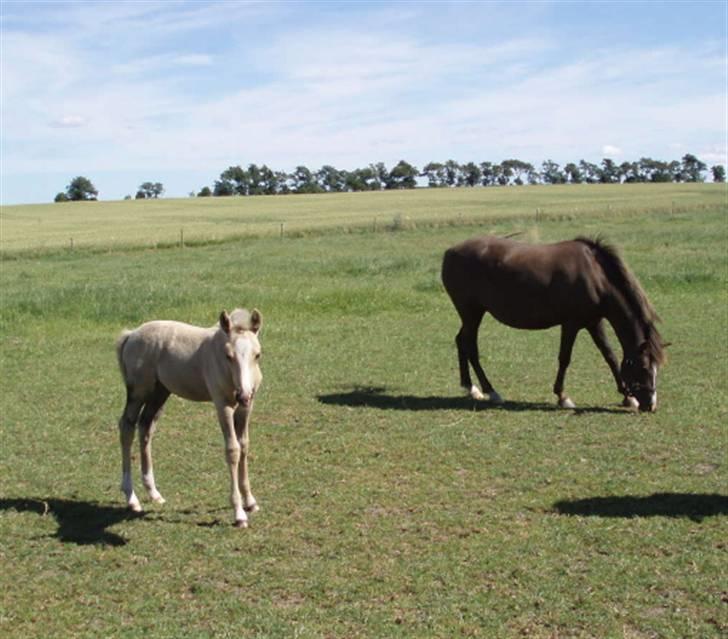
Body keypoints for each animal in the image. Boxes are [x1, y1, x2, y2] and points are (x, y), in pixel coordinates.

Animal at [114, 308, 262, 528]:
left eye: (257, 355)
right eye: (228, 355)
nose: (242, 395)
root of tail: (131, 335)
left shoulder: (246, 407)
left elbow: (244, 445)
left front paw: (250, 501)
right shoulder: (223, 404)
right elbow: (233, 450)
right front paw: (239, 513)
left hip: (160, 392)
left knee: (146, 427)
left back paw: (153, 493)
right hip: (138, 391)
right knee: (127, 427)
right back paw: (132, 498)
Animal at [440, 234, 668, 410]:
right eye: (645, 368)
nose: (651, 405)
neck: (595, 277)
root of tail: (451, 251)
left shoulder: (594, 322)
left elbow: (609, 355)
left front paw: (627, 397)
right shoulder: (571, 324)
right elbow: (564, 358)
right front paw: (562, 397)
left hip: (472, 314)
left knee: (461, 341)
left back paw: (471, 388)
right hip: (471, 312)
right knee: (470, 346)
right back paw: (490, 391)